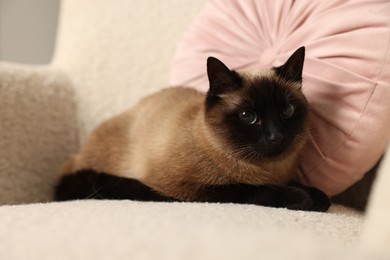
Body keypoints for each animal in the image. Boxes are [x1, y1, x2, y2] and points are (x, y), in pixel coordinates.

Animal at [54, 46, 330, 211]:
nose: (276, 136)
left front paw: (318, 196)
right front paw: (302, 198)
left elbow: (301, 186)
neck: (268, 170)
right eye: (248, 117)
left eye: (287, 111)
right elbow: (249, 190)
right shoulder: (191, 188)